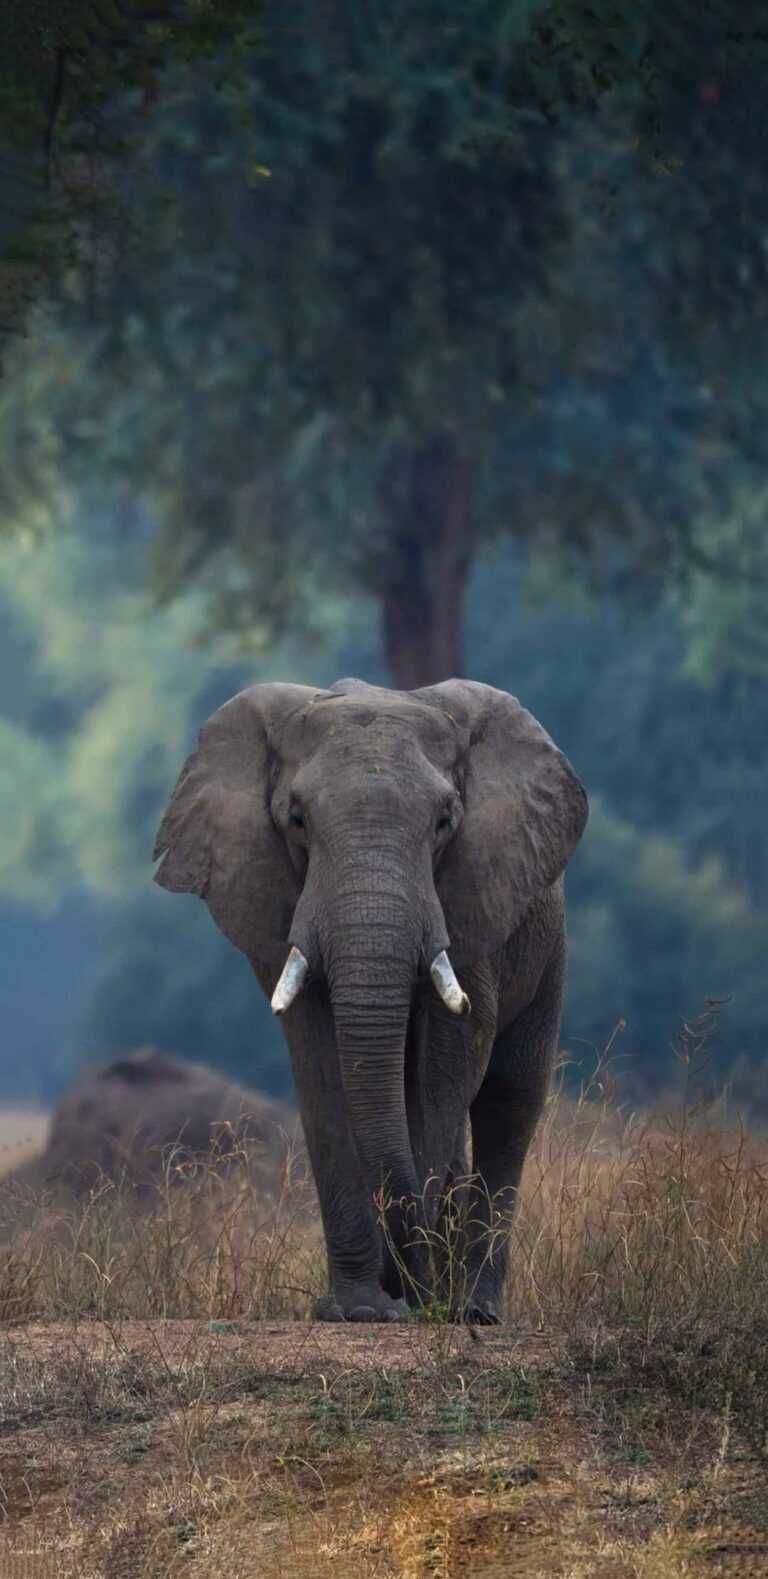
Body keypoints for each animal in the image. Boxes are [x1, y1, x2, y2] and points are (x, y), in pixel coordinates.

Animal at [154, 678, 588, 1323]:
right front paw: (358, 1309)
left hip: (547, 938)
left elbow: (444, 1067)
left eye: (444, 821)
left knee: (509, 1098)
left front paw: (414, 1293)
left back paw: (471, 1308)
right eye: (297, 820)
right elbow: (321, 1067)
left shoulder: (473, 892)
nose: (402, 1290)